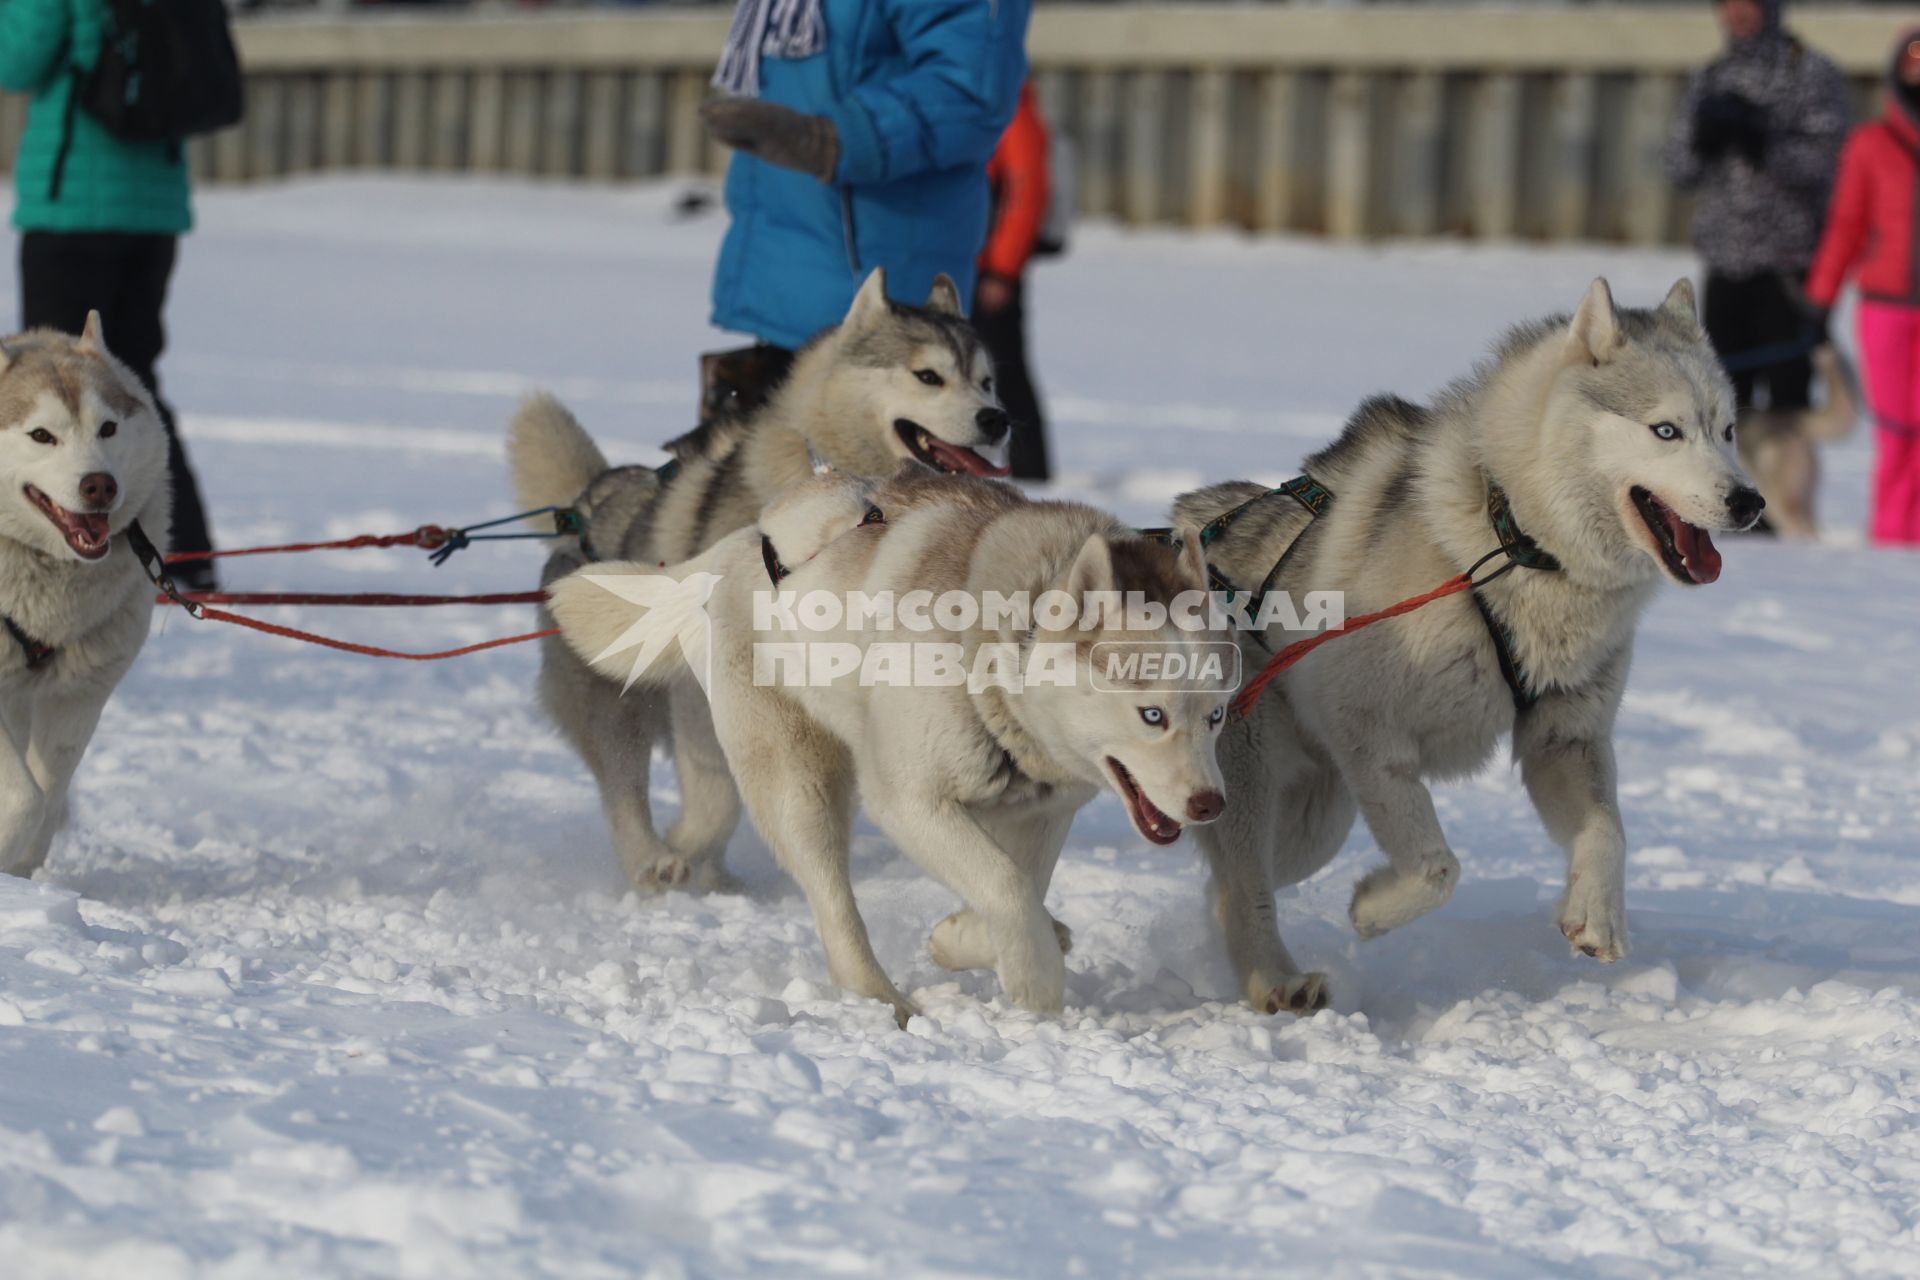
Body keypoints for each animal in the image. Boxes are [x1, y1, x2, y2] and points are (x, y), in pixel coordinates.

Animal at [0, 318, 170, 882]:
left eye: (108, 429)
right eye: (41, 435)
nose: (100, 485)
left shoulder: (80, 695)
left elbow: (46, 798)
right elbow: (25, 800)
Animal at [510, 270, 1021, 890]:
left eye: (987, 381)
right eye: (929, 376)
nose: (997, 419)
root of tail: (585, 507)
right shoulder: (703, 689)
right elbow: (716, 797)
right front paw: (692, 847)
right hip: (619, 702)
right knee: (623, 789)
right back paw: (652, 859)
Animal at [545, 468, 1228, 1020]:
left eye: (1216, 716)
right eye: (1152, 715)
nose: (1210, 805)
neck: (1005, 645)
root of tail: (738, 546)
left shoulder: (1042, 811)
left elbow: (1017, 887)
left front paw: (969, 940)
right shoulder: (909, 801)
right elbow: (1006, 887)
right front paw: (1035, 979)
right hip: (801, 791)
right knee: (835, 908)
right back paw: (883, 1001)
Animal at [1182, 282, 1766, 1020]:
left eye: (1727, 431)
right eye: (1667, 430)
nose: (1750, 501)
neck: (1512, 538)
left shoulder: (1565, 738)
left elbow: (1608, 832)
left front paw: (1597, 915)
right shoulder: (1370, 736)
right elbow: (1438, 868)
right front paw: (1373, 909)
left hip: (1320, 819)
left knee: (1227, 885)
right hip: (1255, 781)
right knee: (1246, 884)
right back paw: (1278, 981)